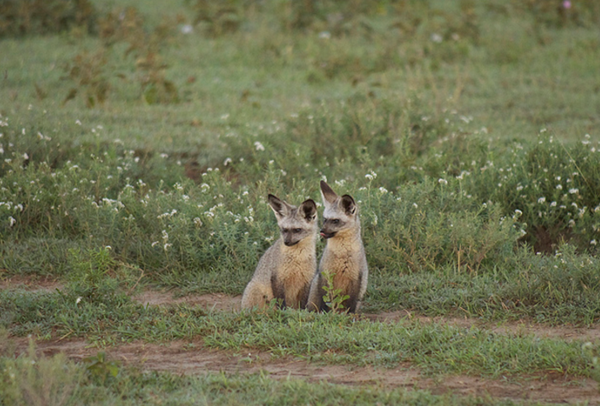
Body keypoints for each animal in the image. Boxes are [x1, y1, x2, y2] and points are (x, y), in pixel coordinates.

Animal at [308, 182, 368, 314]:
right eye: (325, 219)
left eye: (336, 221)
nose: (321, 231)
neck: (342, 254)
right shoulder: (325, 276)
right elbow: (325, 302)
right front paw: (326, 315)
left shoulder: (356, 279)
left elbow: (350, 306)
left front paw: (348, 316)